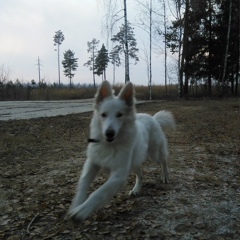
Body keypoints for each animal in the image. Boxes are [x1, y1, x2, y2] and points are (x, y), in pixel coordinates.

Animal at [68, 81, 175, 221]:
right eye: (103, 115)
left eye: (119, 115)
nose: (109, 133)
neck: (110, 145)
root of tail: (153, 118)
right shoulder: (93, 163)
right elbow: (83, 182)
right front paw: (77, 204)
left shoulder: (119, 174)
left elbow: (98, 193)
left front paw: (82, 210)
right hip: (134, 162)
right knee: (140, 174)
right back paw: (136, 189)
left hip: (154, 153)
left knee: (163, 160)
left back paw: (165, 176)